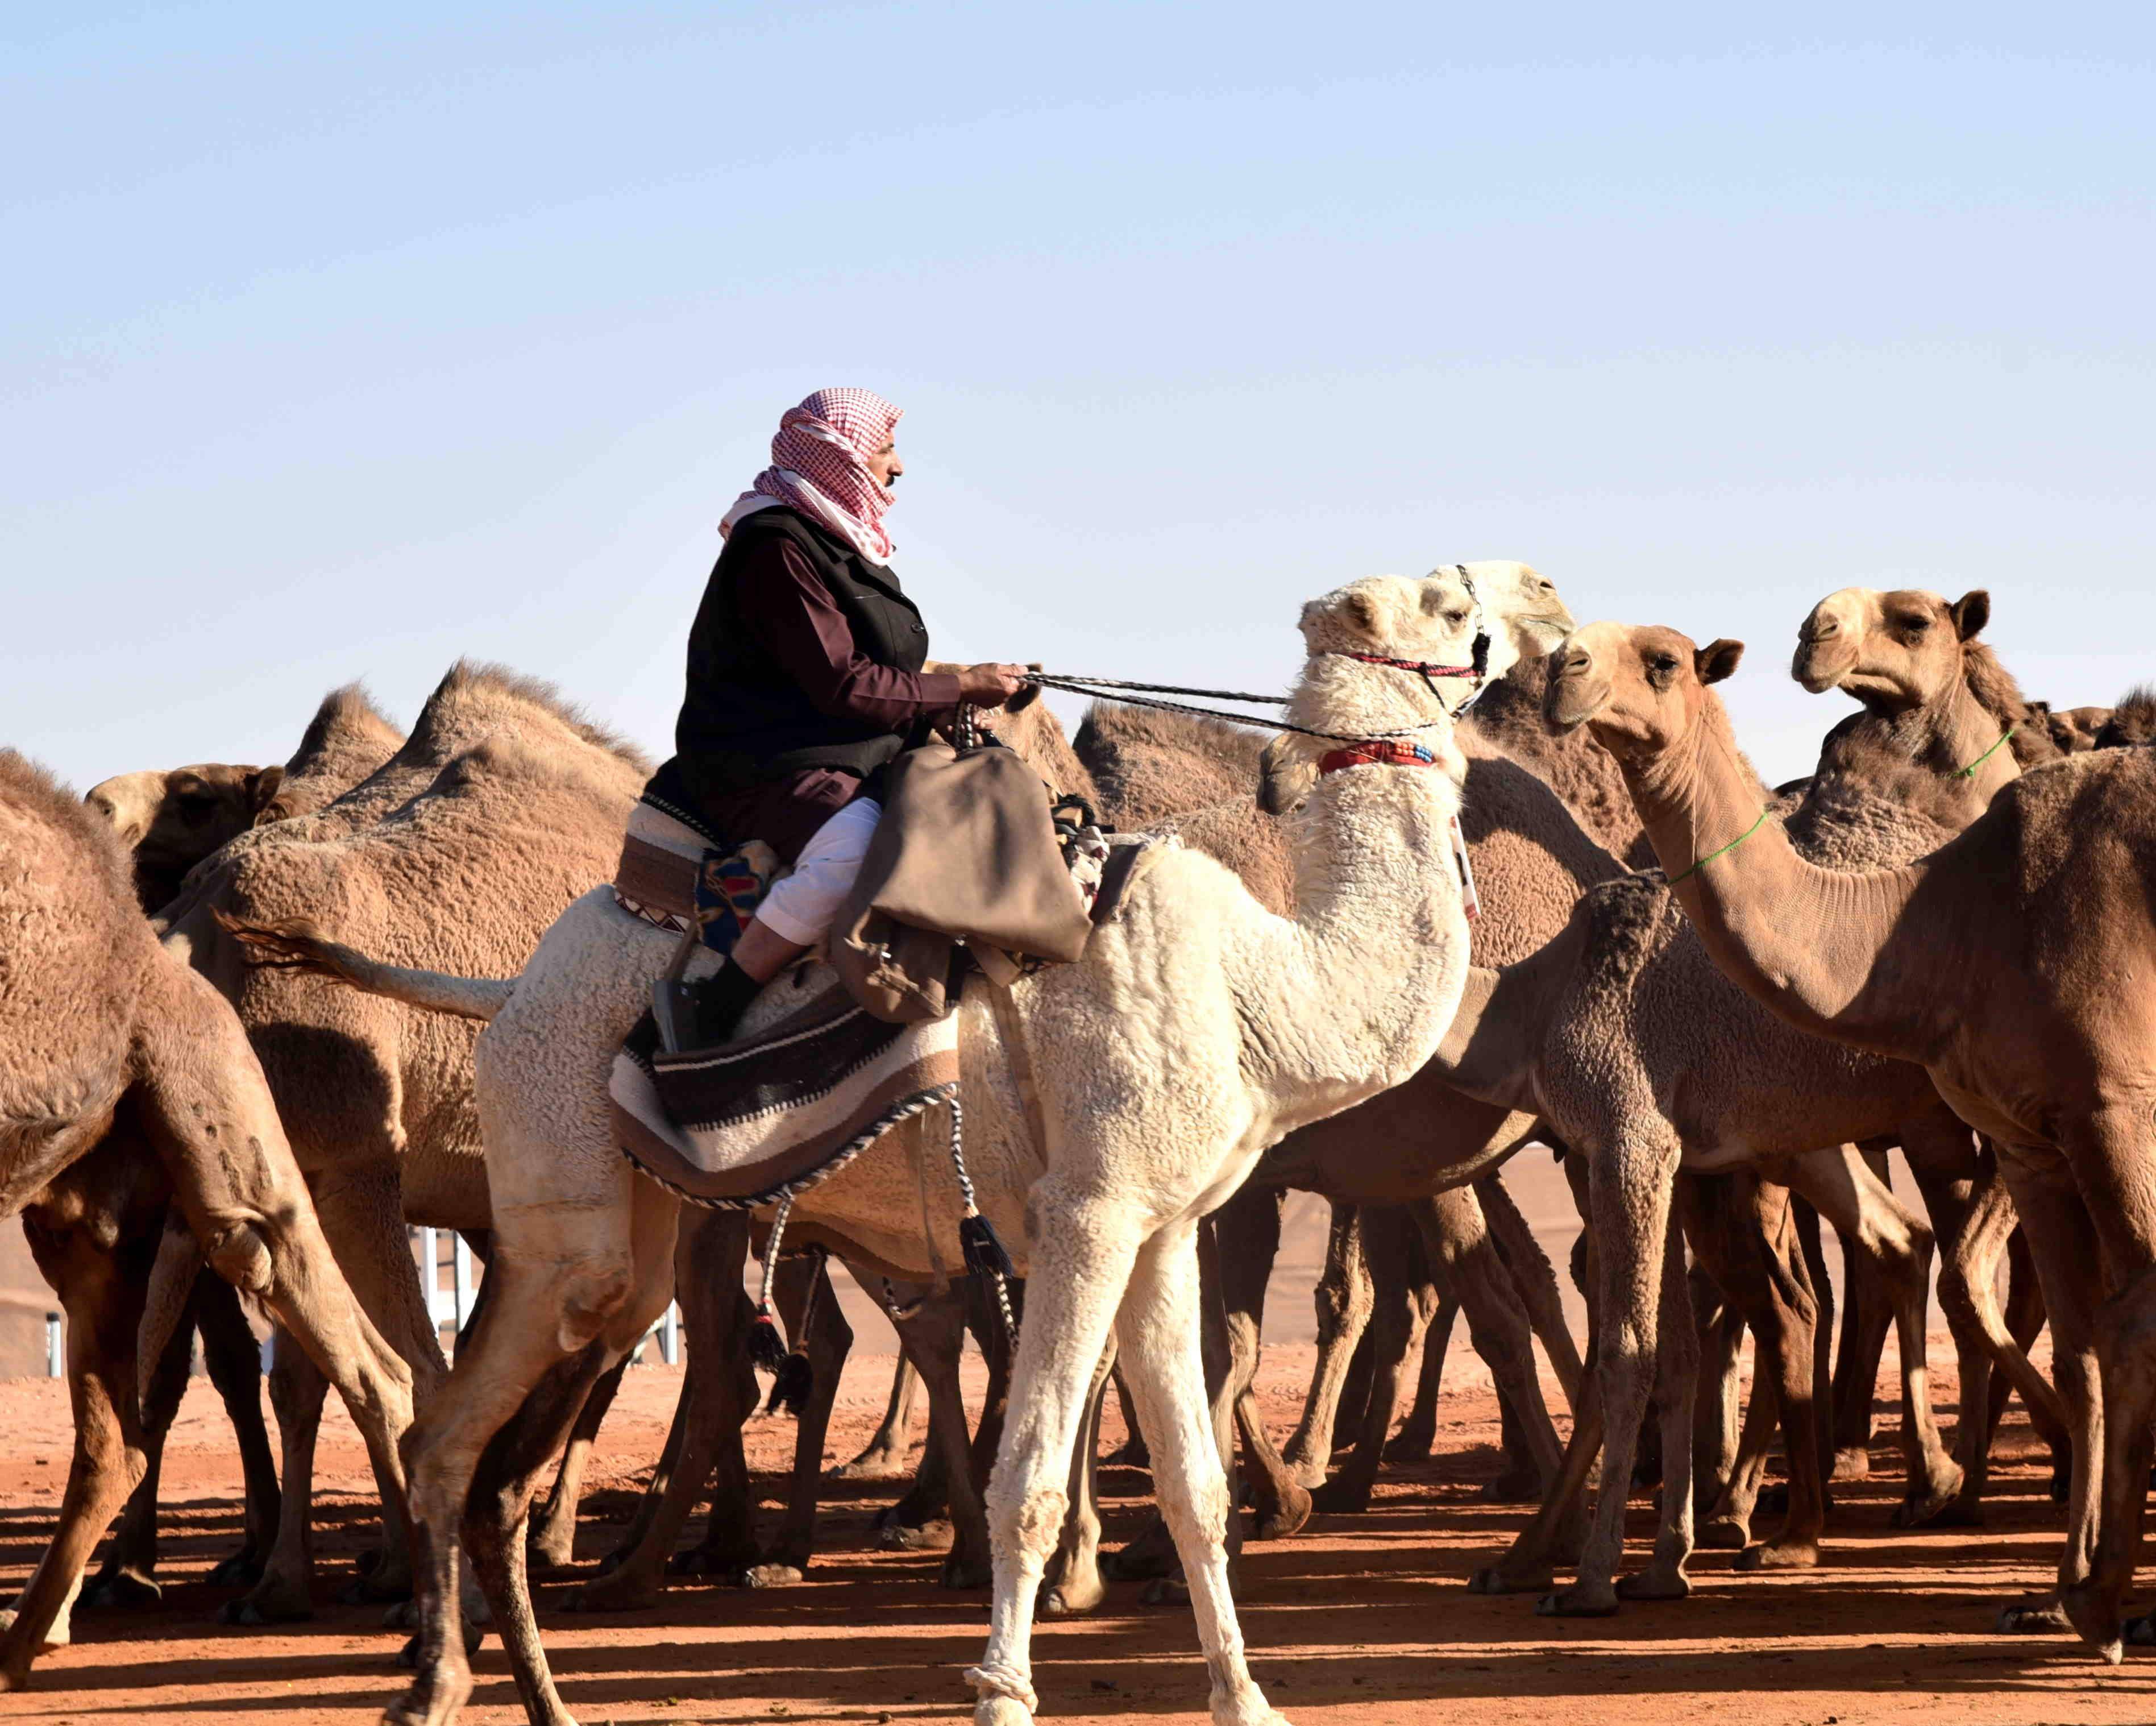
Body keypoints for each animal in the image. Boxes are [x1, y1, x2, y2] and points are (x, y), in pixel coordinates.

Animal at [0, 750, 416, 1683]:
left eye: (196, 801)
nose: (106, 805)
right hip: (88, 1214)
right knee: (119, 1437)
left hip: (220, 1115)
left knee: (362, 1354)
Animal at [227, 569, 1561, 1726]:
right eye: (1448, 603)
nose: (1532, 626)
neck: (1259, 981)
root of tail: (507, 991)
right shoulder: (1084, 1213)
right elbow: (1030, 1476)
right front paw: (1004, 1695)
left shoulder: (1160, 1225)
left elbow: (1190, 1480)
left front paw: (1245, 1698)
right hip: (559, 1193)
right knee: (448, 1428)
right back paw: (436, 1682)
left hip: (631, 1232)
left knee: (499, 1439)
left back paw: (529, 1694)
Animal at [1552, 621, 2156, 1657]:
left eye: (1662, 660)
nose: (1562, 671)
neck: (1942, 922)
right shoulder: (2031, 1138)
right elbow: (2082, 1348)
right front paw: (2064, 1593)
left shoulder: (2115, 1105)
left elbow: (2130, 1327)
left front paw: (2107, 1602)